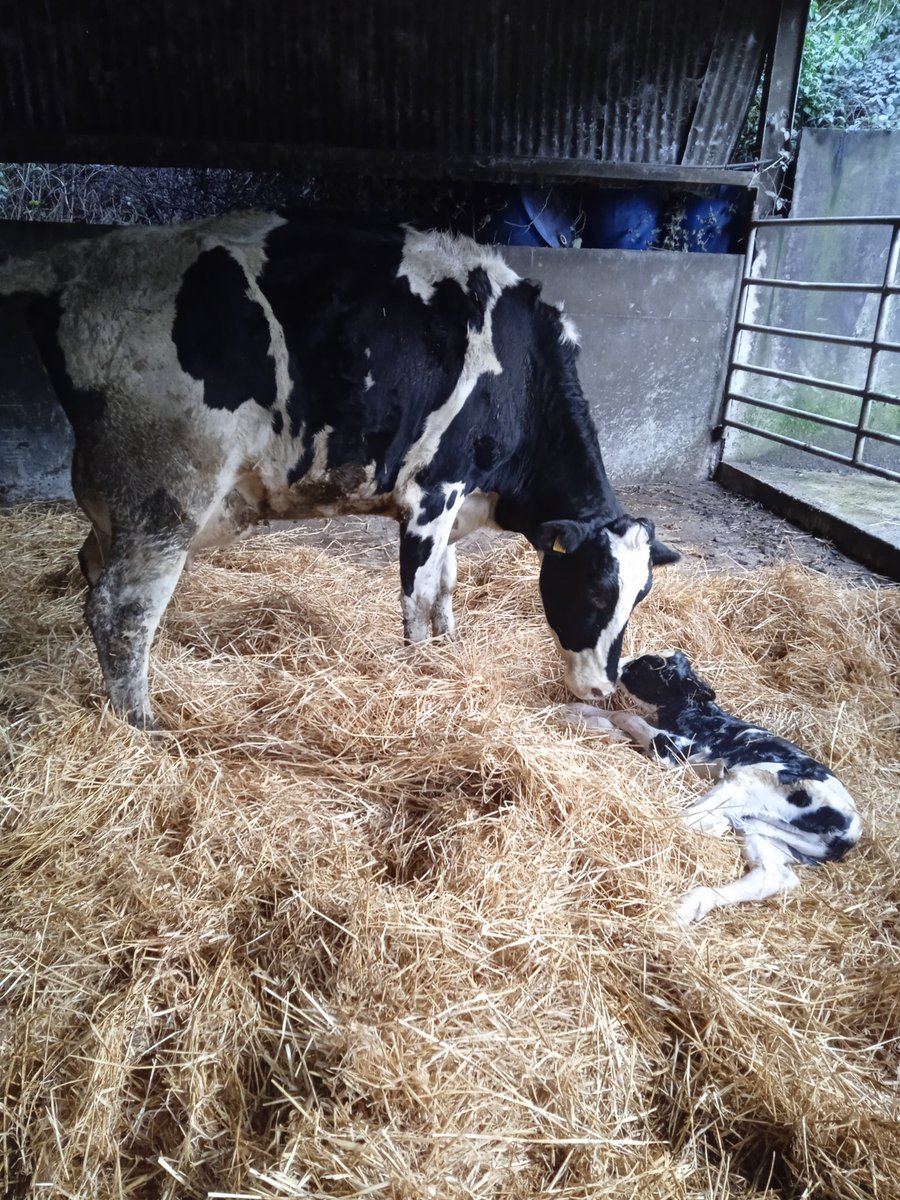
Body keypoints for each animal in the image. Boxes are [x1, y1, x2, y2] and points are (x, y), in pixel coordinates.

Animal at [1, 211, 679, 729]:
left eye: (641, 595)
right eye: (594, 590)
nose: (603, 689)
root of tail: (78, 262)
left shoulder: (457, 503)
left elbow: (448, 584)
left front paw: (452, 648)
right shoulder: (432, 494)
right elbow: (417, 596)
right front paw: (420, 670)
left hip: (114, 494)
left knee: (93, 571)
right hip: (168, 488)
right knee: (121, 608)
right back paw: (143, 723)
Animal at [562, 650, 861, 924]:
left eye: (651, 664)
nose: (618, 665)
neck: (697, 714)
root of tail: (849, 835)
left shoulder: (674, 749)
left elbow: (626, 716)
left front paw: (589, 720)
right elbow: (618, 717)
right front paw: (577, 713)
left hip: (749, 782)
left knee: (686, 821)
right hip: (766, 834)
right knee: (773, 876)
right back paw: (685, 908)